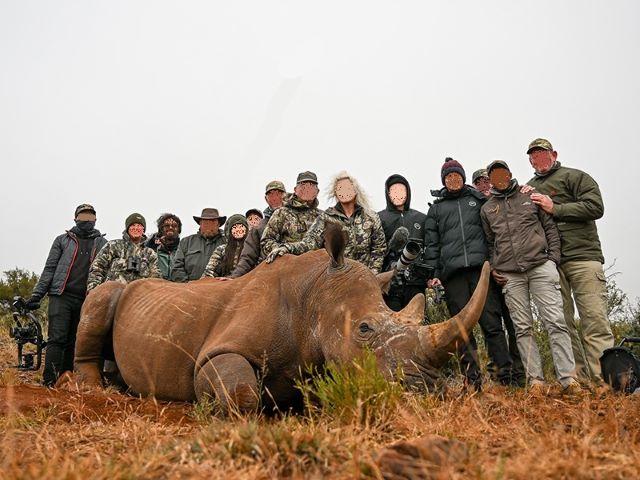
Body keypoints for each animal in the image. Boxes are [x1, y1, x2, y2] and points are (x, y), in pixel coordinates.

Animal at [74, 224, 489, 412]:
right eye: (364, 329)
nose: (430, 390)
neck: (315, 293)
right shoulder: (216, 351)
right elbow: (241, 392)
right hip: (112, 290)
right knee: (101, 297)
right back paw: (94, 391)